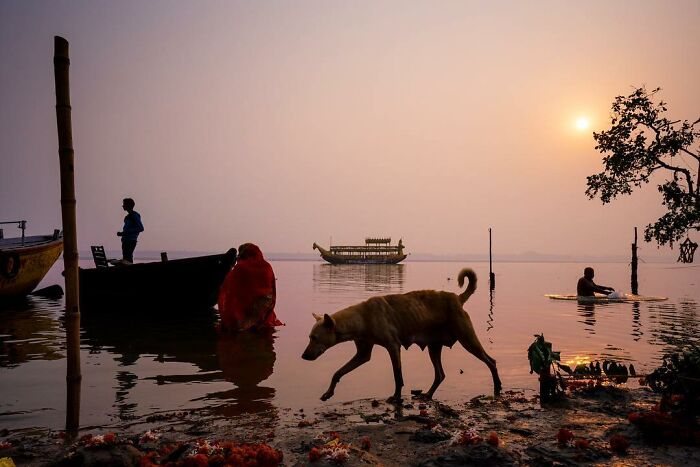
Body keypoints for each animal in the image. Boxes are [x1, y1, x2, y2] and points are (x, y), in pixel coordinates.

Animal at [302, 268, 504, 404]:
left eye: (315, 337)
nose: (303, 356)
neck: (361, 317)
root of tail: (458, 297)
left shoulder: (393, 346)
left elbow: (397, 375)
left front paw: (396, 397)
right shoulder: (362, 354)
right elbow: (337, 372)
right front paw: (328, 393)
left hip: (467, 339)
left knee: (491, 361)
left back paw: (497, 387)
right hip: (434, 346)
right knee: (440, 374)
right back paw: (428, 394)